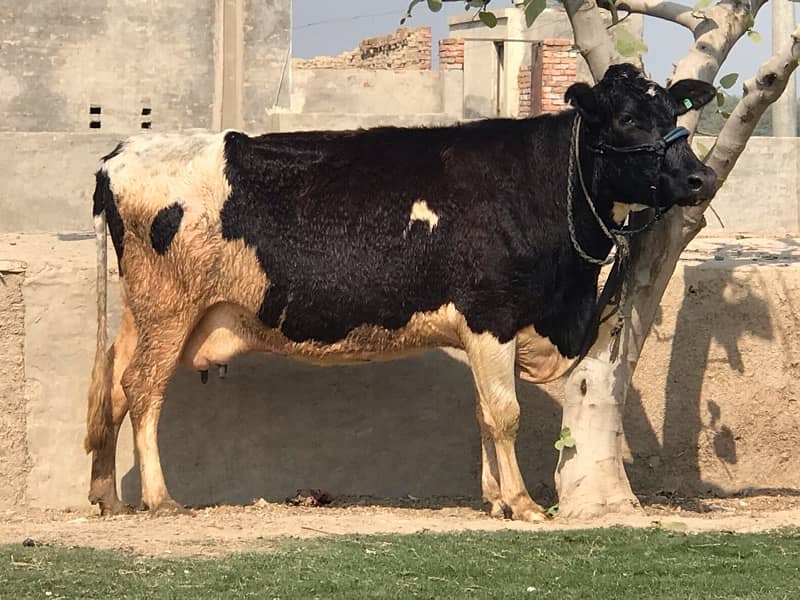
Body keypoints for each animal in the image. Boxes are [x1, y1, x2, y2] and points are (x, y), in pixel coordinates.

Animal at [84, 63, 716, 516]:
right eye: (628, 119)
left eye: (674, 110)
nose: (700, 177)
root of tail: (121, 154)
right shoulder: (491, 315)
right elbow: (505, 412)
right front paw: (522, 504)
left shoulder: (490, 329)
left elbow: (483, 412)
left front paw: (495, 500)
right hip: (170, 306)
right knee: (143, 387)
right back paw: (159, 498)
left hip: (146, 310)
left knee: (114, 384)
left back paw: (106, 495)